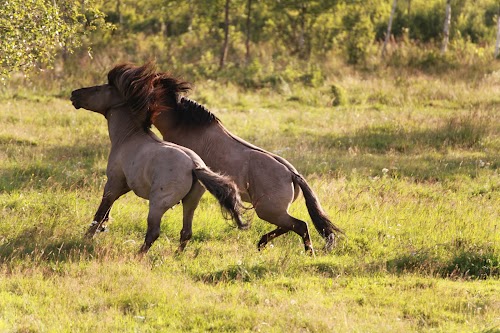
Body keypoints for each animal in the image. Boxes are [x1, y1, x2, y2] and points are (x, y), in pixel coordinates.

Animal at [71, 66, 248, 253]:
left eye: (98, 89)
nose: (74, 94)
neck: (129, 137)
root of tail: (195, 166)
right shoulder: (123, 186)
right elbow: (105, 213)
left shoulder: (113, 184)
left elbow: (99, 214)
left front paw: (87, 238)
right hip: (190, 203)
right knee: (186, 232)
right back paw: (176, 256)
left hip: (157, 205)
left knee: (154, 232)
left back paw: (139, 256)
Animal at [106, 63, 344, 254]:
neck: (185, 125)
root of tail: (292, 174)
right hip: (272, 211)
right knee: (291, 226)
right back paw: (262, 243)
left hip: (268, 210)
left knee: (300, 225)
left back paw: (306, 252)